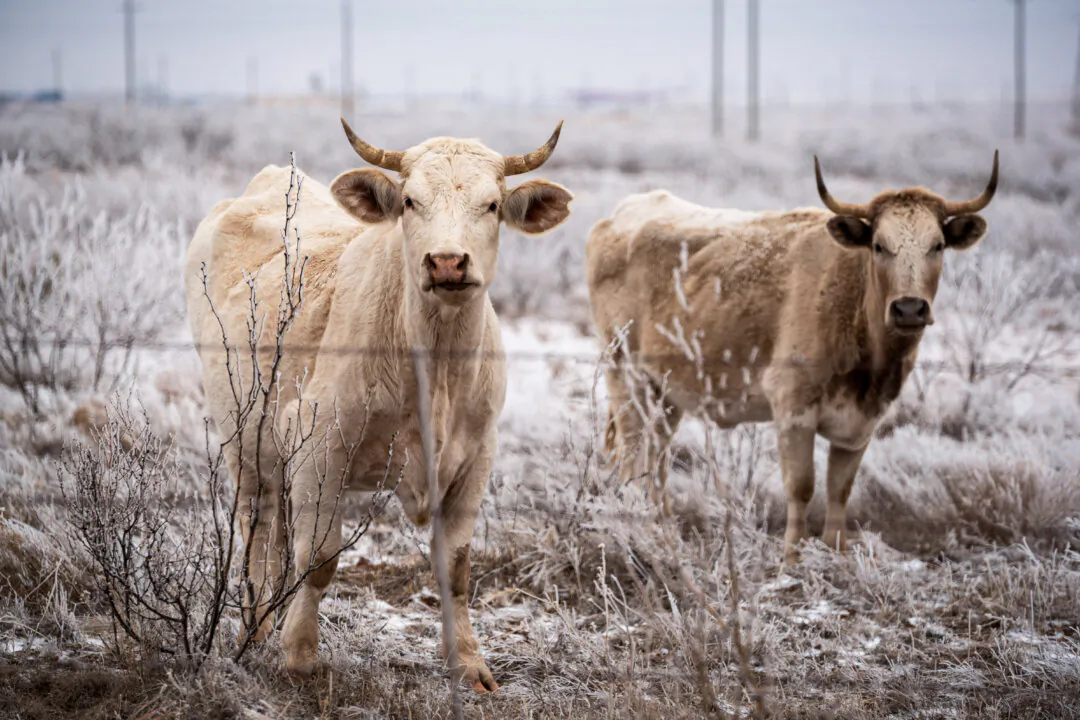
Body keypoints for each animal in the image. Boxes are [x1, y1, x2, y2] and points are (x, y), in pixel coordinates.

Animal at [184, 120, 573, 690]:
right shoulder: (320, 448)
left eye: (492, 205)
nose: (447, 261)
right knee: (256, 525)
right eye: (410, 201)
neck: (435, 366)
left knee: (277, 531)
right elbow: (320, 557)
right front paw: (300, 655)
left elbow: (455, 568)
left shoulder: (477, 456)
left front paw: (469, 663)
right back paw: (256, 628)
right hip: (243, 437)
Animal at [585, 153, 998, 562]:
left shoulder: (861, 423)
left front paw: (837, 552)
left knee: (656, 457)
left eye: (938, 245)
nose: (909, 308)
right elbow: (802, 486)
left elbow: (839, 489)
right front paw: (793, 557)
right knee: (632, 453)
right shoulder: (793, 407)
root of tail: (620, 216)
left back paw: (664, 526)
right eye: (879, 245)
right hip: (625, 375)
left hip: (666, 392)